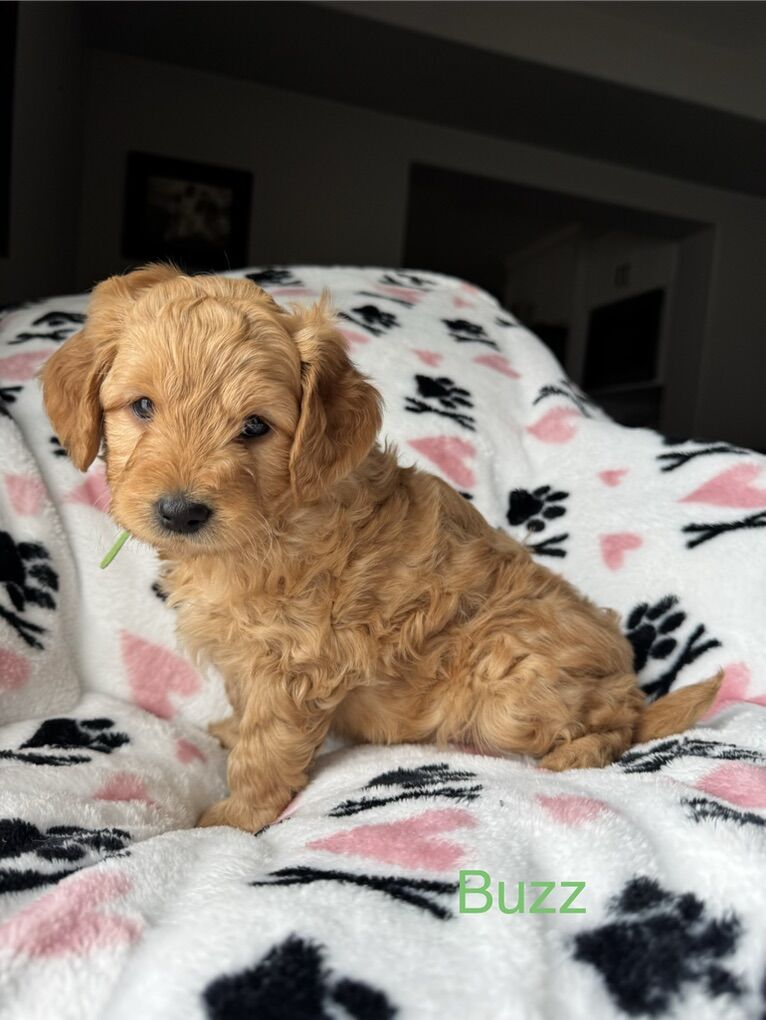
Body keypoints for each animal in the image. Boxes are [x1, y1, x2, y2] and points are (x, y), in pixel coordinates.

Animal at [41, 265, 722, 832]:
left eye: (255, 426)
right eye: (142, 407)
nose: (181, 512)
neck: (272, 520)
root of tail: (627, 675)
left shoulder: (296, 662)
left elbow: (267, 747)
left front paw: (234, 818)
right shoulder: (247, 655)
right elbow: (244, 710)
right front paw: (230, 731)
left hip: (509, 682)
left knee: (619, 726)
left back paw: (578, 750)